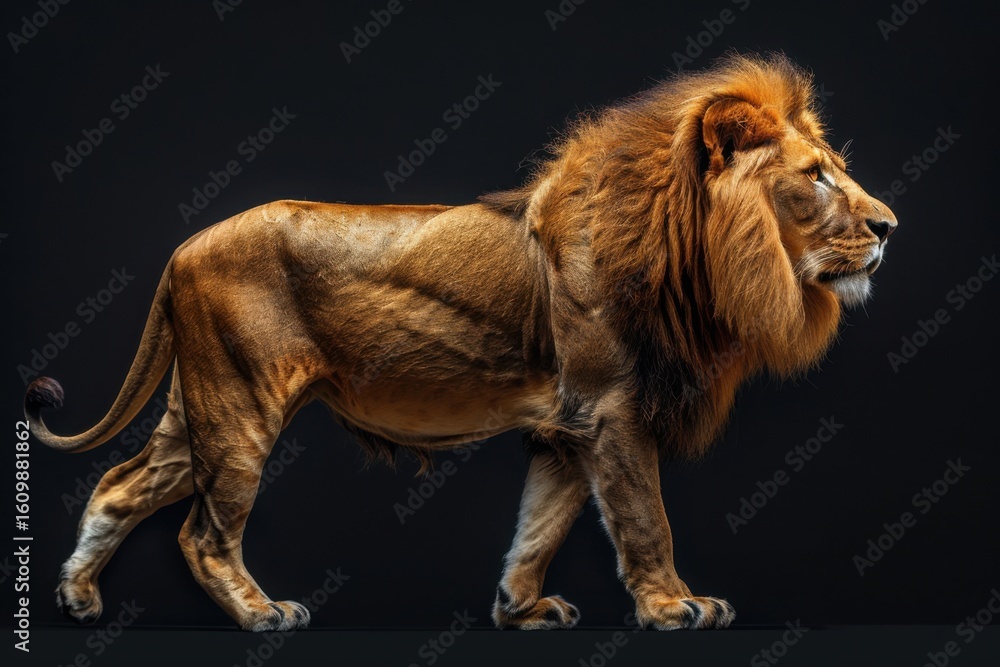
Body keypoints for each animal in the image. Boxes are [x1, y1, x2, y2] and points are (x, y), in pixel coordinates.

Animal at [26, 53, 896, 632]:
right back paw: (261, 612)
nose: (890, 225)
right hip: (241, 404)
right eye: (816, 175)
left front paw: (521, 607)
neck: (687, 251)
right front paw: (674, 604)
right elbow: (645, 515)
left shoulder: (566, 427)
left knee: (119, 484)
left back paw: (76, 597)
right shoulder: (612, 410)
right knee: (202, 532)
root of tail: (183, 248)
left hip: (200, 402)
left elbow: (541, 522)